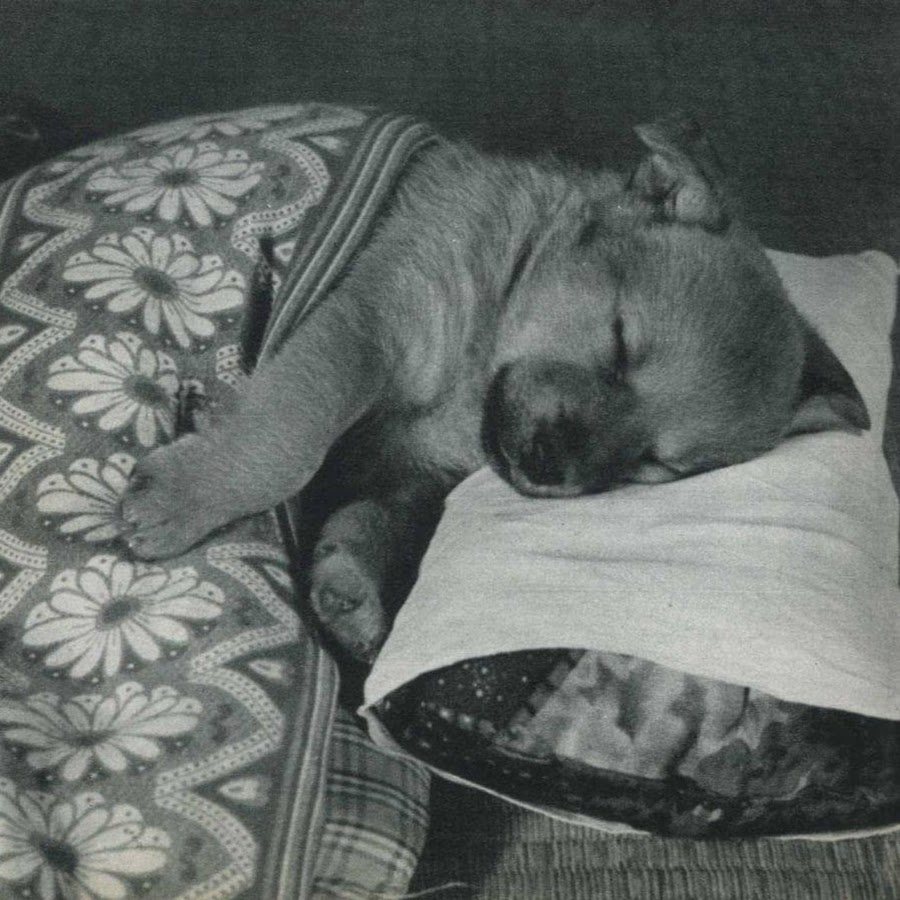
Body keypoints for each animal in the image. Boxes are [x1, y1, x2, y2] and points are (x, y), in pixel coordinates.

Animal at [119, 113, 869, 661]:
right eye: (619, 343)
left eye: (656, 463)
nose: (550, 466)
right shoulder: (367, 329)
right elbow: (289, 437)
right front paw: (189, 497)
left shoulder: (413, 468)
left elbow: (387, 519)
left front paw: (355, 583)